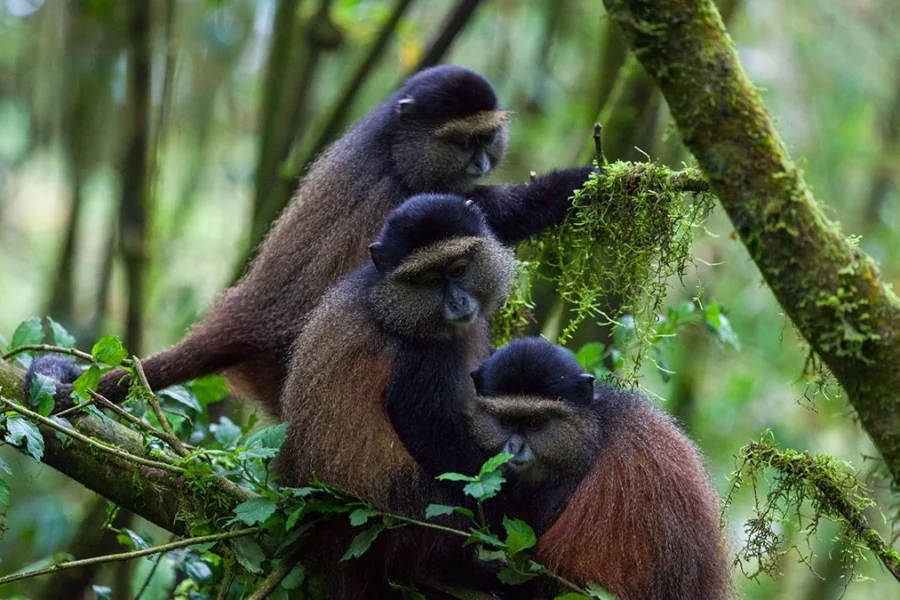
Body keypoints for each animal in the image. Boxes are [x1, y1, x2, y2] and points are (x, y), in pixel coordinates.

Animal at [36, 65, 594, 414]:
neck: (393, 148)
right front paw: (583, 181)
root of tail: (245, 316)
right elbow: (486, 215)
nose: (480, 160)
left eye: (487, 138)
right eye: (463, 141)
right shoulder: (406, 199)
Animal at [276, 193, 518, 597]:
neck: (392, 301)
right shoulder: (421, 356)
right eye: (431, 281)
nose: (458, 303)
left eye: (459, 269)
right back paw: (462, 571)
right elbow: (425, 424)